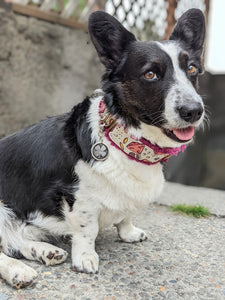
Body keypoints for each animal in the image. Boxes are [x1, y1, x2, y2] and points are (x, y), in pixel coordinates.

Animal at [0, 8, 206, 288]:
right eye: (150, 74)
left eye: (192, 68)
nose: (194, 111)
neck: (126, 140)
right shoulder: (78, 197)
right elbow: (87, 229)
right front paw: (86, 258)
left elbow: (126, 215)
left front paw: (129, 233)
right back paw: (17, 271)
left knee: (15, 241)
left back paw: (45, 252)